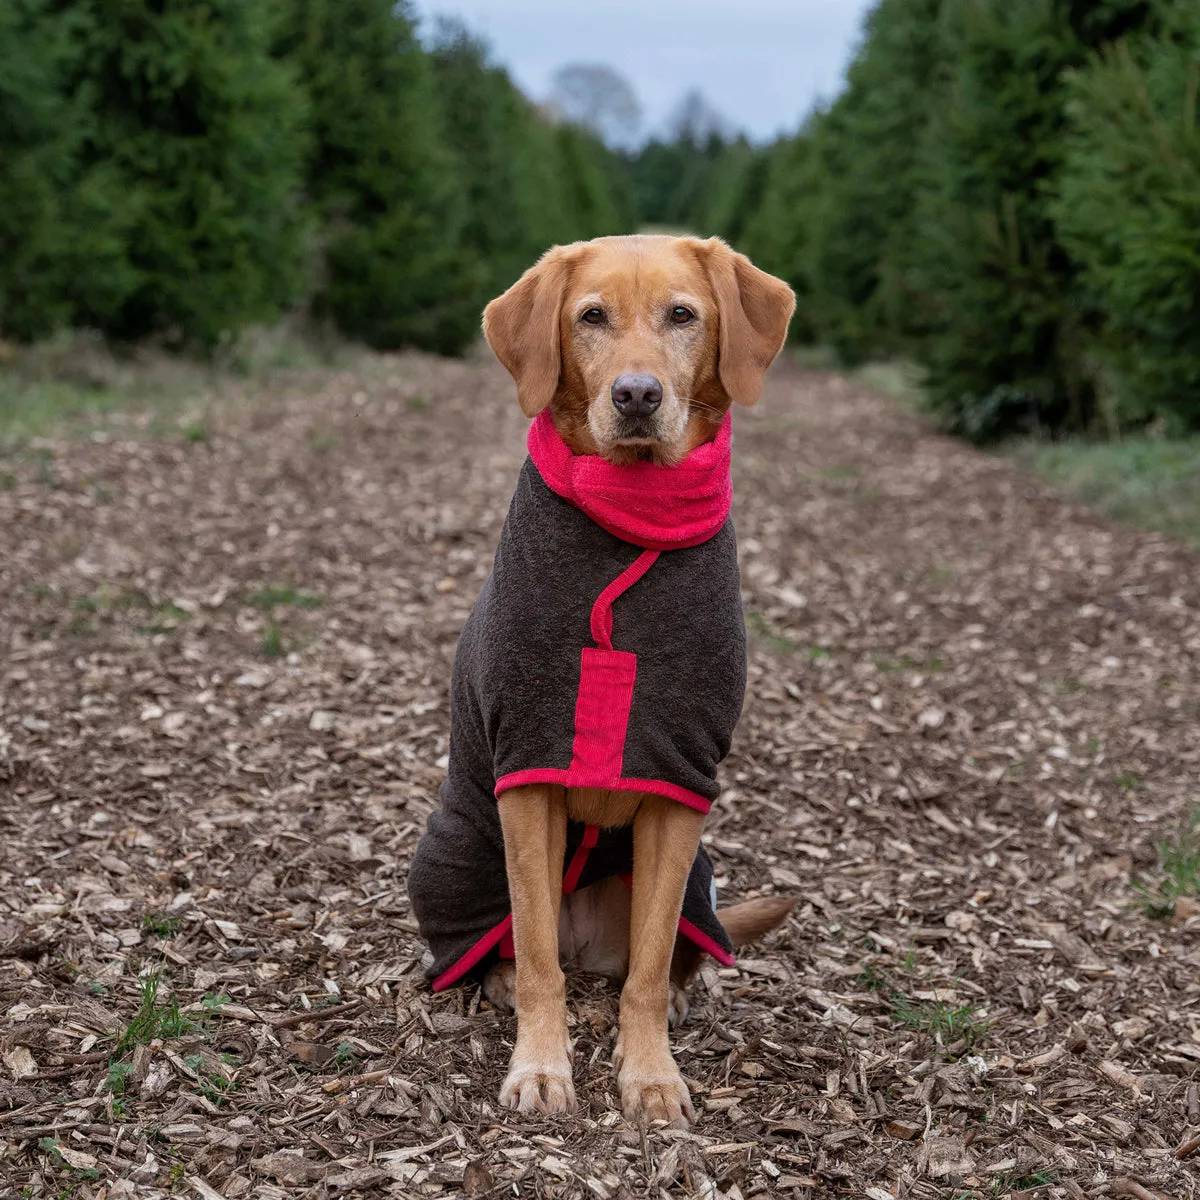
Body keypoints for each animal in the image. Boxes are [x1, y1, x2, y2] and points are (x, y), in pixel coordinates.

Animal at [410, 231, 796, 1123]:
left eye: (683, 315)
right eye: (591, 318)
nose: (637, 395)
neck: (631, 509)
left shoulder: (678, 785)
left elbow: (648, 969)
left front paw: (650, 1076)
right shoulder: (527, 771)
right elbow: (538, 960)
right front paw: (540, 1067)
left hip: (698, 881)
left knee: (668, 955)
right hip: (453, 857)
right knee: (517, 945)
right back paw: (499, 972)